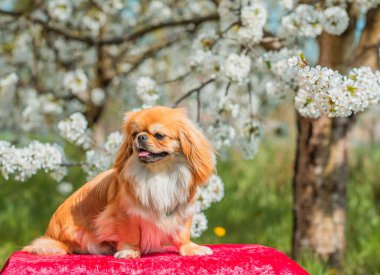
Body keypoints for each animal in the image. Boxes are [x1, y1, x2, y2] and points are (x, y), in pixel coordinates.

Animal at [23, 106, 214, 260]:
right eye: (134, 135)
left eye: (159, 136)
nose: (141, 137)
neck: (159, 173)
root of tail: (51, 236)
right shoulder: (124, 215)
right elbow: (130, 236)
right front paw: (129, 252)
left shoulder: (181, 212)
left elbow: (182, 235)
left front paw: (190, 249)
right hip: (75, 233)